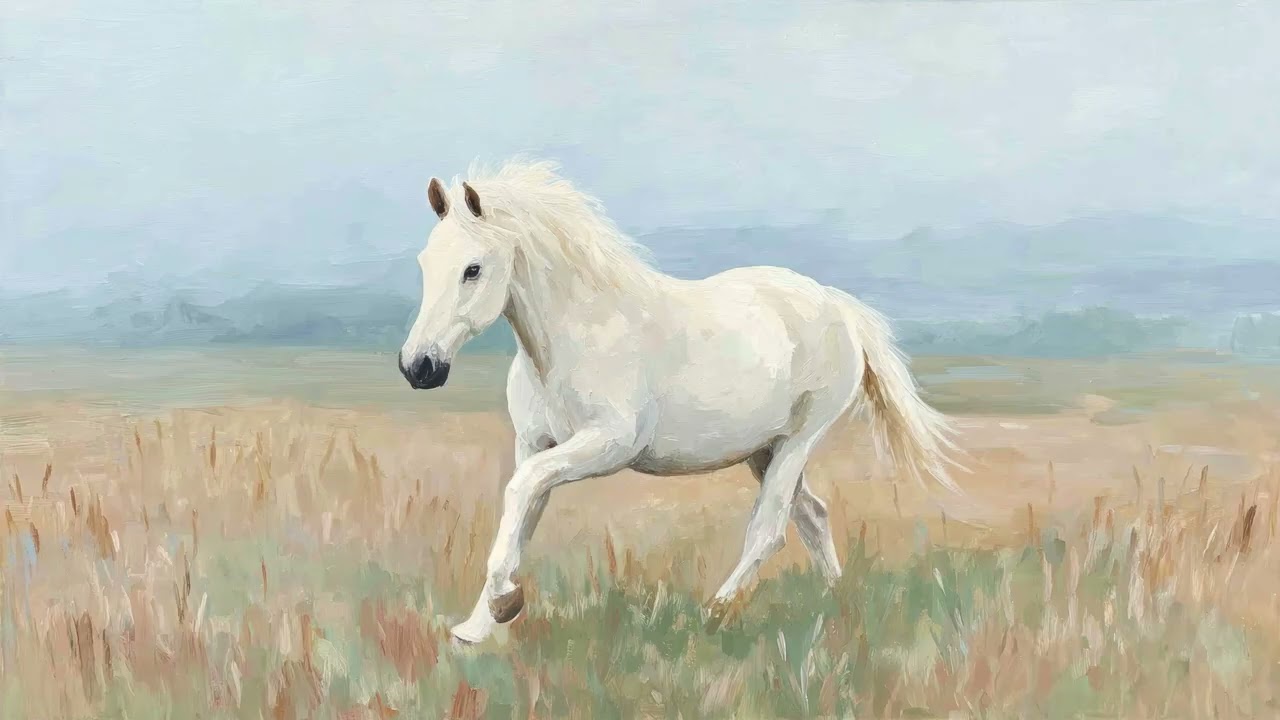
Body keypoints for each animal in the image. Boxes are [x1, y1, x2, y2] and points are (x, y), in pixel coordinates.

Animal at [398, 159, 967, 645]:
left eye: (473, 269)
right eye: (424, 263)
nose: (418, 367)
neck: (575, 336)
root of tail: (840, 306)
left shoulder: (605, 446)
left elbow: (519, 493)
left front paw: (501, 605)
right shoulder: (534, 444)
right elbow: (520, 516)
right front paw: (479, 626)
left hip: (799, 442)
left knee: (770, 529)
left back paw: (716, 612)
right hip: (765, 450)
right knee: (814, 515)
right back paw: (837, 605)